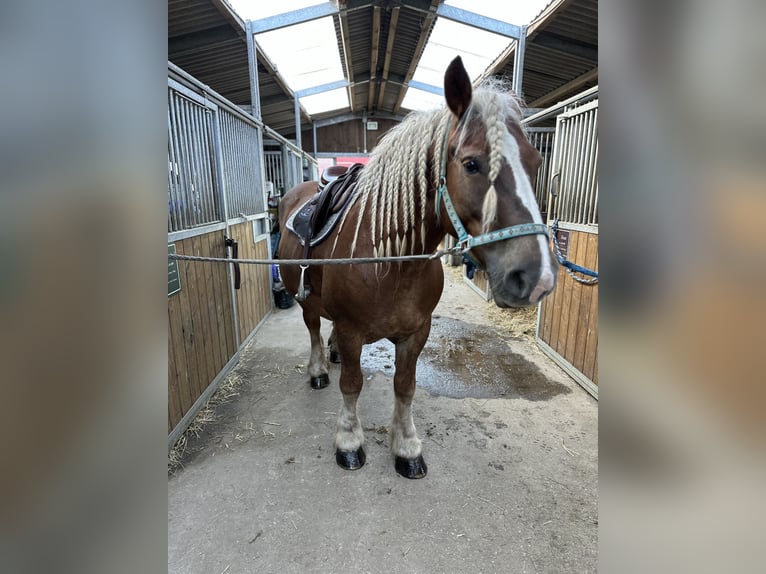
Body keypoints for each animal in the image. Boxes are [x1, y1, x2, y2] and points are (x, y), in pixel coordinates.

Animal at [280, 57, 560, 482]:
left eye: (535, 162)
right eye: (472, 163)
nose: (537, 278)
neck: (390, 264)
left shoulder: (417, 332)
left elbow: (405, 385)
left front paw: (407, 447)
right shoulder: (351, 329)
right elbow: (352, 384)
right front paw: (349, 442)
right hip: (305, 298)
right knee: (313, 328)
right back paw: (317, 370)